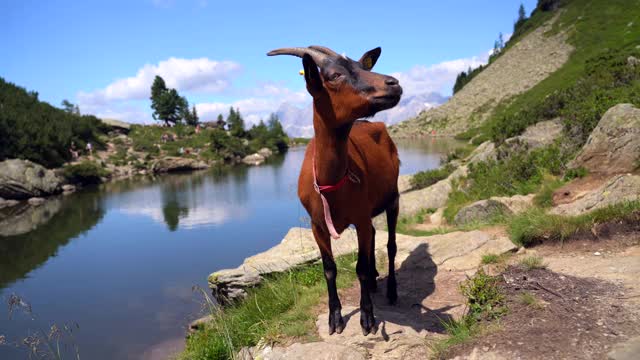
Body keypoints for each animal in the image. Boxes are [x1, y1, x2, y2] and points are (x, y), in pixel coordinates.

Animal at [268, 45, 402, 334]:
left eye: (363, 67)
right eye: (334, 75)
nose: (394, 83)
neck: (330, 183)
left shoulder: (359, 217)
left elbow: (360, 267)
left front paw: (367, 318)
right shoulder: (317, 225)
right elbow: (329, 269)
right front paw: (335, 317)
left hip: (393, 198)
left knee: (390, 244)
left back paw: (391, 291)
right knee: (376, 236)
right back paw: (374, 281)